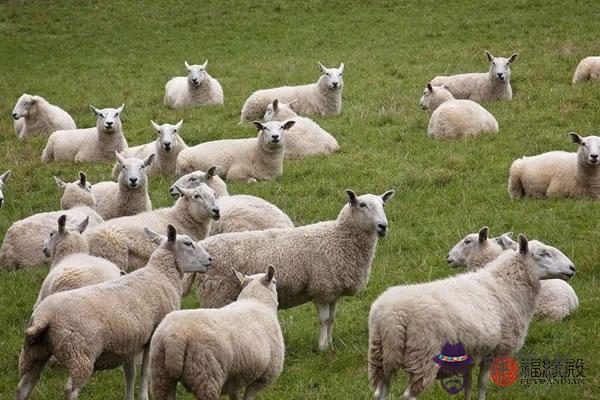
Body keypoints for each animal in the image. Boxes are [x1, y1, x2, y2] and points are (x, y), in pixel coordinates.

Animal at [16, 224, 212, 400]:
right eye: (188, 243)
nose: (210, 259)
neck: (161, 275)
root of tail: (45, 317)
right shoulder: (151, 337)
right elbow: (144, 373)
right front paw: (143, 396)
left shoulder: (130, 342)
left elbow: (130, 375)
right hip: (80, 355)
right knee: (70, 390)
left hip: (35, 351)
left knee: (23, 387)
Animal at [150, 265, 283, 400]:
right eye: (274, 282)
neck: (257, 301)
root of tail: (174, 338)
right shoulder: (265, 376)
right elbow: (248, 396)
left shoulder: (237, 377)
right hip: (206, 376)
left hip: (161, 374)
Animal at [194, 189, 395, 351]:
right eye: (362, 204)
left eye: (383, 204)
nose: (383, 226)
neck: (338, 239)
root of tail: (204, 246)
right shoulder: (321, 288)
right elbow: (323, 320)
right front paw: (322, 347)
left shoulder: (333, 292)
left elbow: (331, 319)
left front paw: (330, 344)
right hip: (217, 294)